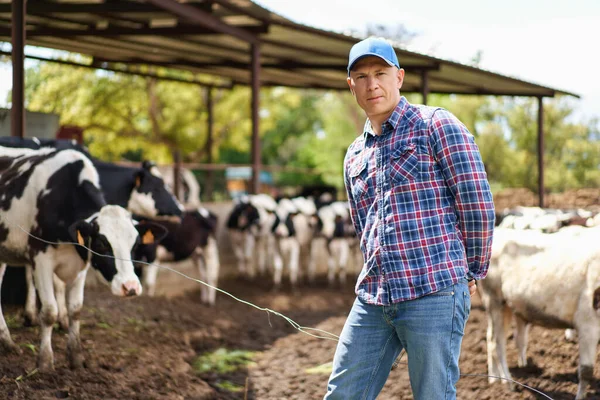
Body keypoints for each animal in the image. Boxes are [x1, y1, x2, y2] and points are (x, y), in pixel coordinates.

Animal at [0, 147, 164, 372]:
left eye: (136, 244)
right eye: (102, 244)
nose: (130, 287)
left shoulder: (81, 265)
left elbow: (76, 309)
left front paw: (76, 358)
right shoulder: (40, 259)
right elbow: (49, 311)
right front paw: (45, 362)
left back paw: (7, 342)